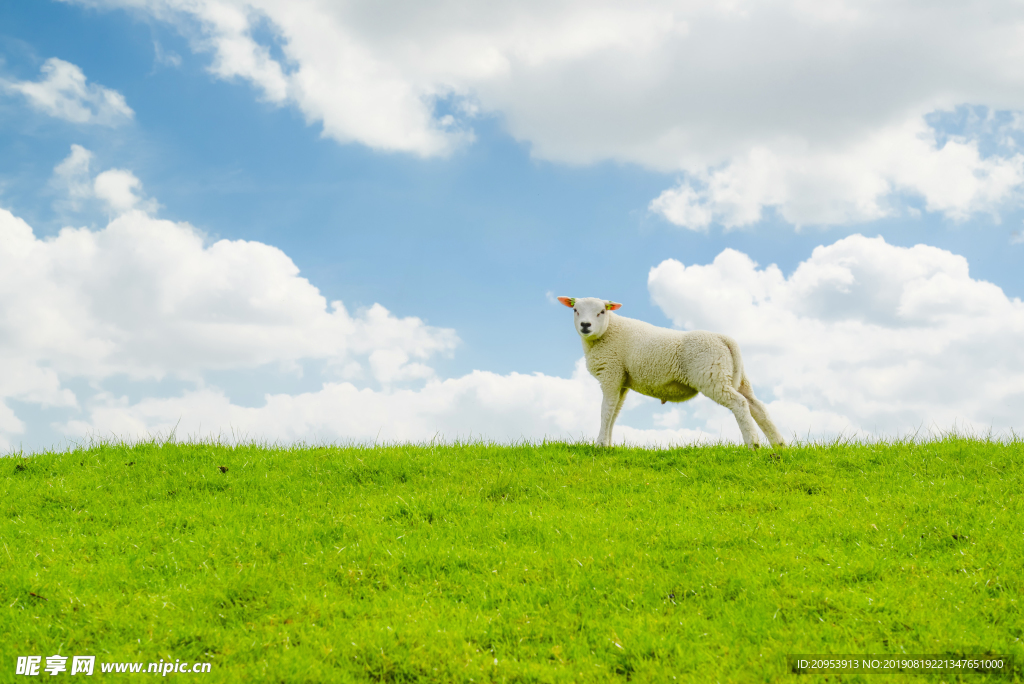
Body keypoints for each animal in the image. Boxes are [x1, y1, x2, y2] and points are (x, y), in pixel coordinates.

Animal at [561, 294, 782, 448]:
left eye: (602, 311)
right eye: (575, 310)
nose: (586, 325)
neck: (607, 333)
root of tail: (724, 339)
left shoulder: (611, 373)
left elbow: (605, 410)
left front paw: (600, 444)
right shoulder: (621, 379)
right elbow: (615, 412)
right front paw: (608, 443)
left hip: (712, 376)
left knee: (740, 404)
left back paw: (753, 444)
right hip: (735, 376)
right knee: (758, 407)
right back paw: (779, 444)